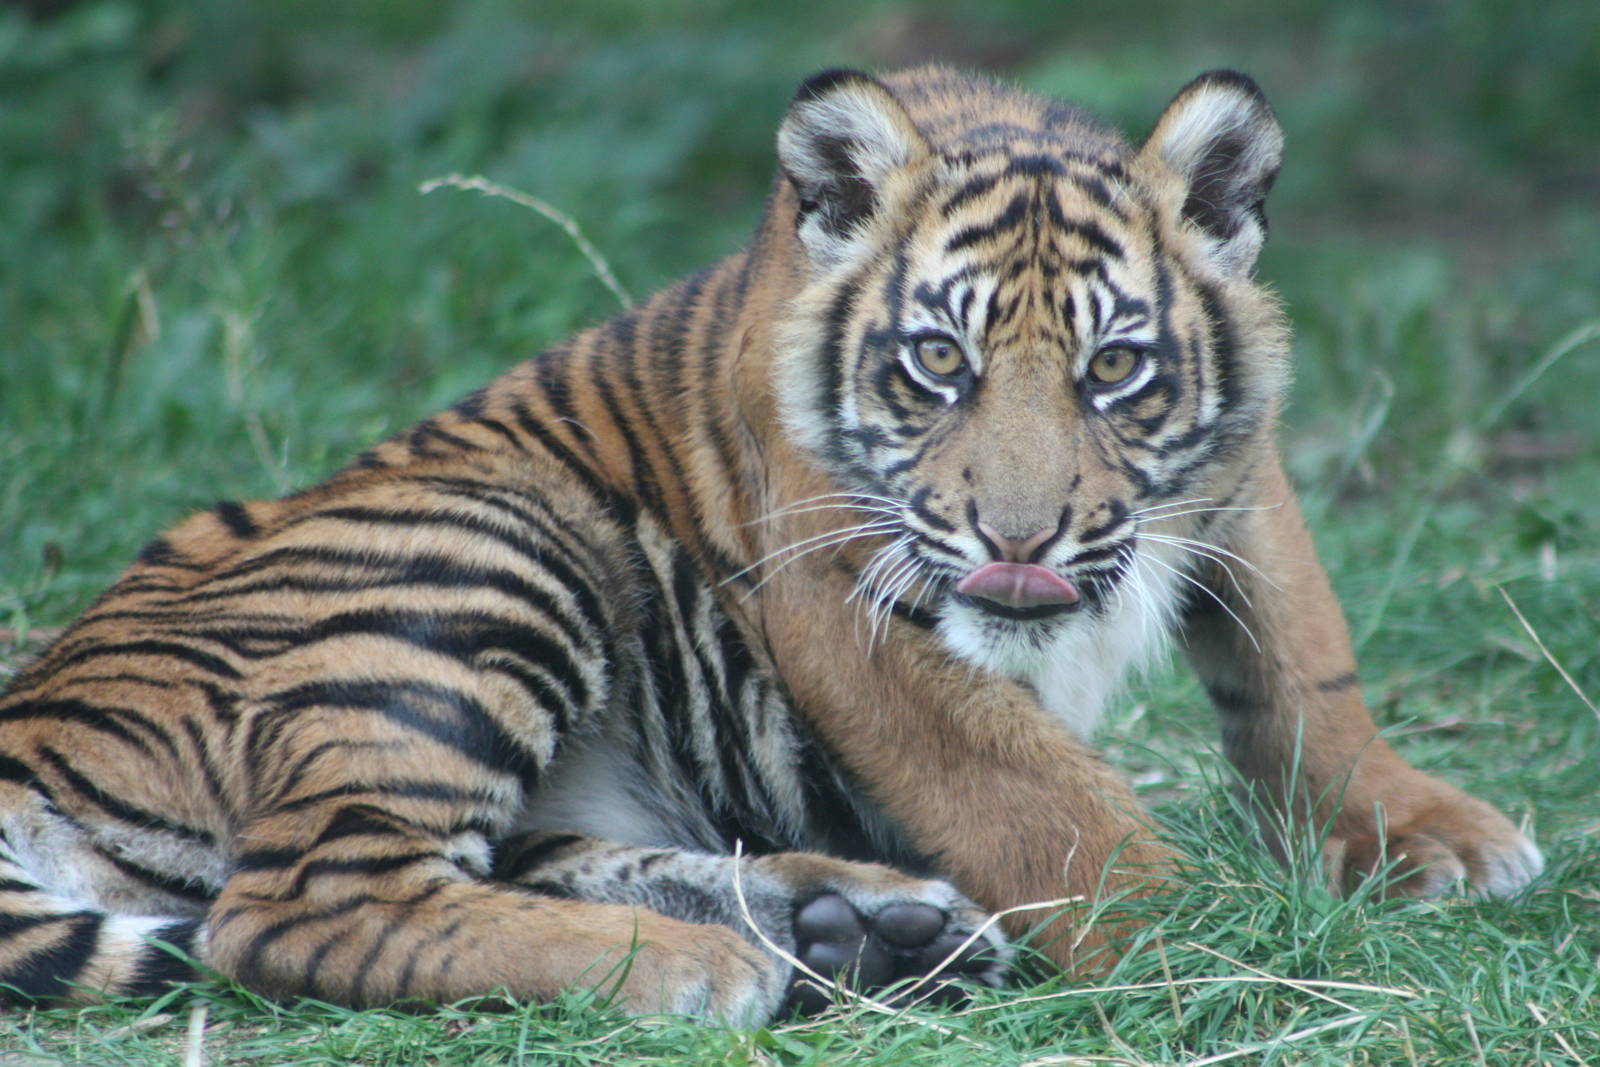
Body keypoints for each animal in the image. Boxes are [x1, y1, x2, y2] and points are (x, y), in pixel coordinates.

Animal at [0, 66, 1543, 1023]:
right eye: (937, 361)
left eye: (1114, 368)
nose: (1022, 537)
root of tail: (28, 713)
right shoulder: (841, 588)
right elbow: (1040, 792)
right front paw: (1210, 948)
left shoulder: (1238, 474)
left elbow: (1302, 660)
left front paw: (1421, 832)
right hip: (501, 537)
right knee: (300, 904)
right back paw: (706, 966)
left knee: (493, 860)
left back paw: (859, 927)